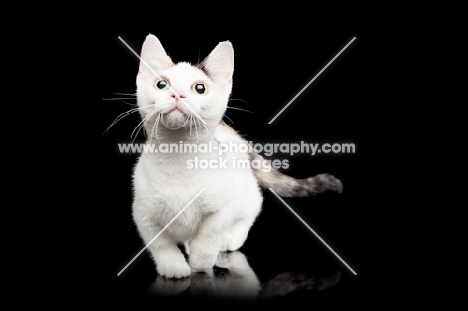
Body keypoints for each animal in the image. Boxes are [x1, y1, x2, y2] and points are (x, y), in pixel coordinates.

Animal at [132, 34, 344, 280]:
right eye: (162, 84)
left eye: (199, 88)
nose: (177, 95)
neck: (178, 154)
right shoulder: (143, 213)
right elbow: (161, 244)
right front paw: (173, 265)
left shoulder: (222, 208)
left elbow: (208, 237)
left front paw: (201, 264)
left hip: (245, 193)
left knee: (252, 208)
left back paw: (229, 239)